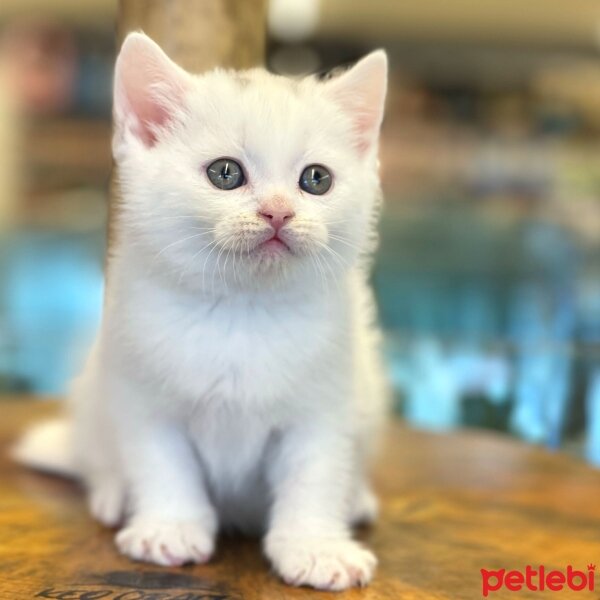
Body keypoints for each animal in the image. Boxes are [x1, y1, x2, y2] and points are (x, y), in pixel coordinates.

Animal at [15, 32, 390, 592]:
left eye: (316, 179)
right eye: (225, 173)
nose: (278, 211)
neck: (242, 309)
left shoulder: (325, 407)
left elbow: (315, 476)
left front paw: (315, 546)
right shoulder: (142, 395)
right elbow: (163, 463)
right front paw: (169, 527)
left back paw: (357, 499)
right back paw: (113, 494)